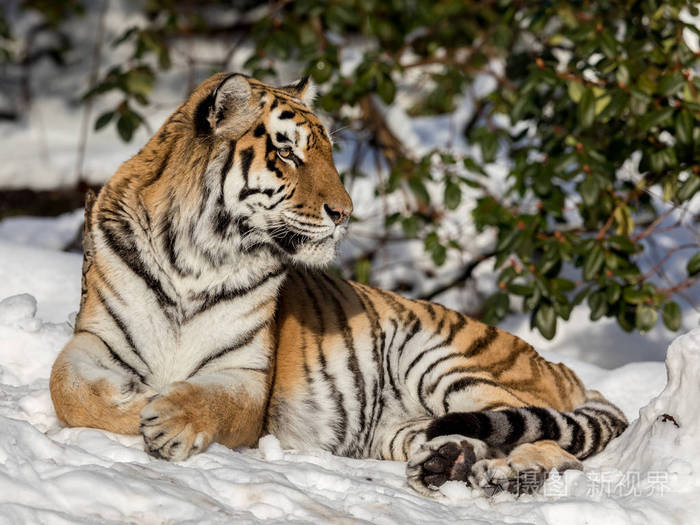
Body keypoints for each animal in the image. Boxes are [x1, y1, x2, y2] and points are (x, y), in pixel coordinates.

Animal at [50, 72, 628, 496]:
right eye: (288, 152)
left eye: (328, 152)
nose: (346, 212)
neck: (199, 254)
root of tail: (560, 367)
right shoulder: (96, 338)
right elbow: (68, 389)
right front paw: (135, 402)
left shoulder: (246, 373)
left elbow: (212, 402)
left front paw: (167, 418)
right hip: (404, 429)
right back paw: (446, 462)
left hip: (443, 364)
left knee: (558, 450)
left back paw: (506, 475)